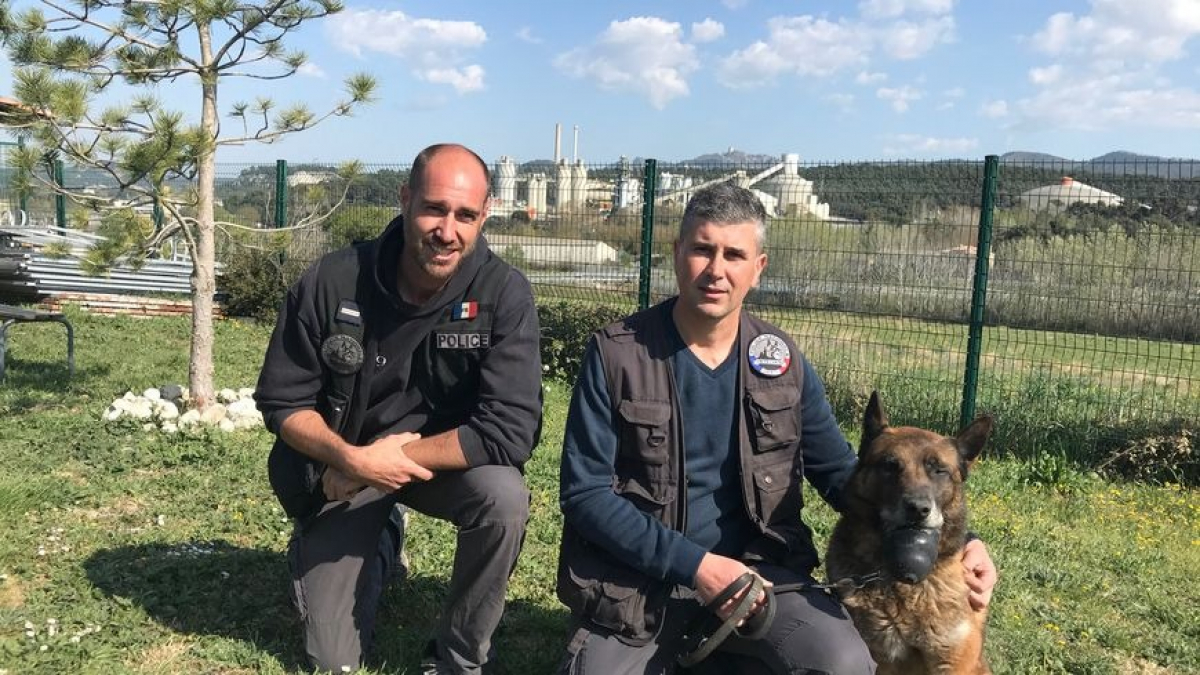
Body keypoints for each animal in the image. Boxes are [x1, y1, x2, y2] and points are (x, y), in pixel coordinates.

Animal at [825, 389, 993, 672]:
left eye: (939, 471)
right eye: (890, 466)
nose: (918, 509)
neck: (901, 582)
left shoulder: (953, 663)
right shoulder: (879, 657)